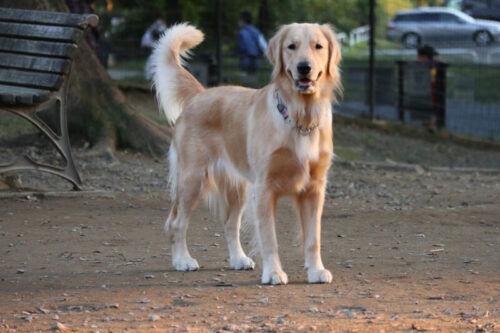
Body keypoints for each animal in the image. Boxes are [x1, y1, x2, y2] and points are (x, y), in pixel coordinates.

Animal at [151, 22, 340, 282]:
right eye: (291, 46)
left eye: (318, 46)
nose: (304, 67)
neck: (300, 118)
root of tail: (201, 93)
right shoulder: (264, 188)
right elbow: (269, 237)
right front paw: (273, 272)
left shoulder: (314, 188)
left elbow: (313, 238)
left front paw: (316, 270)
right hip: (192, 179)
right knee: (177, 222)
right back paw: (182, 260)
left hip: (237, 187)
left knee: (230, 224)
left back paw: (238, 259)